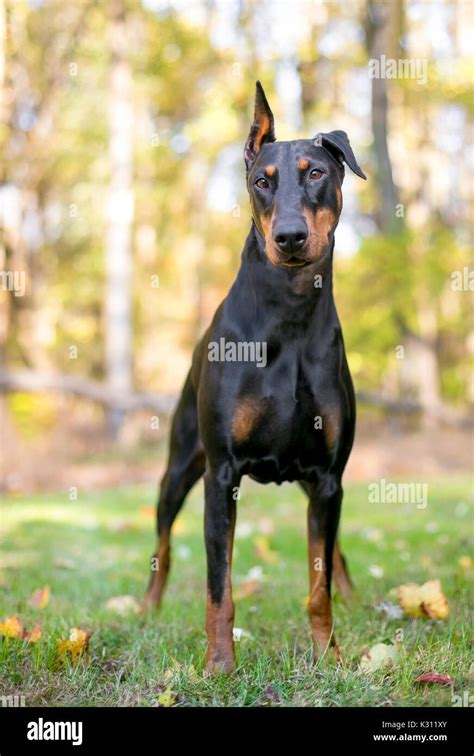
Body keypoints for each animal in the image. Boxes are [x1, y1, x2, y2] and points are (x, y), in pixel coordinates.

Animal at [143, 81, 366, 672]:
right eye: (262, 181)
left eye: (317, 174)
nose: (289, 237)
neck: (289, 311)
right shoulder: (221, 475)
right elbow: (218, 586)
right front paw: (220, 663)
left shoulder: (327, 476)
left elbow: (317, 585)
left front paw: (328, 654)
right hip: (180, 467)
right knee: (162, 543)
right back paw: (147, 609)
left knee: (334, 550)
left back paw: (355, 598)